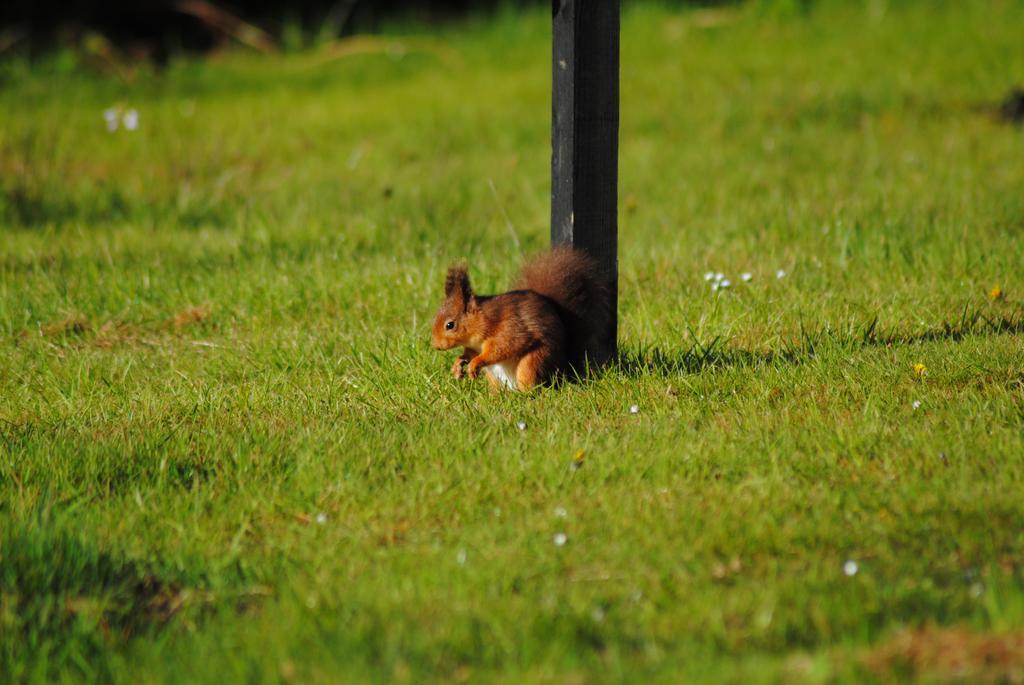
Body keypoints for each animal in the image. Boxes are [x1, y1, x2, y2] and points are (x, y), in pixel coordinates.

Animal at [430, 246, 606, 389]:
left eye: (450, 325)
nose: (436, 346)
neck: (483, 320)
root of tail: (562, 368)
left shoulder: (508, 328)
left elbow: (503, 348)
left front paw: (475, 363)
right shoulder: (474, 346)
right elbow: (469, 353)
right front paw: (458, 364)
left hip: (533, 363)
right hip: (495, 376)